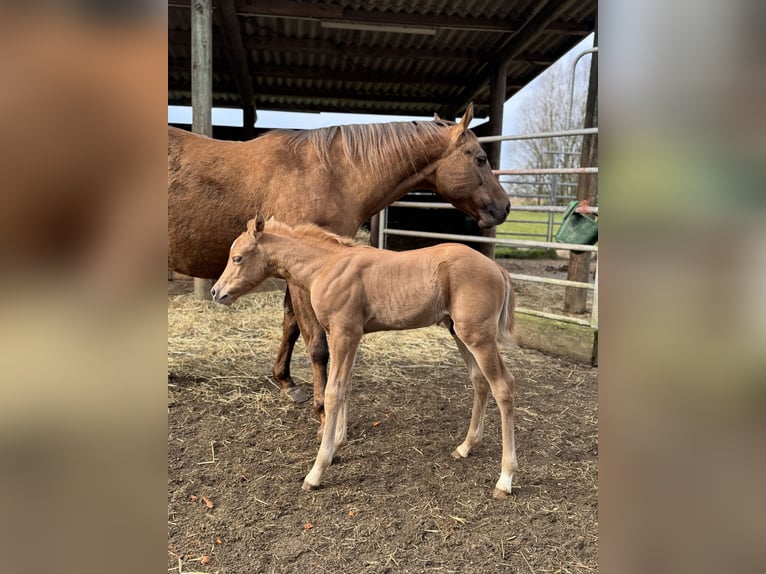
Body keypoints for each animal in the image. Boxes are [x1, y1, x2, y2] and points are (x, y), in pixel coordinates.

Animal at [169, 103, 510, 422]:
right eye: (480, 158)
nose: (505, 207)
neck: (329, 175)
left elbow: (291, 326)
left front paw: (287, 382)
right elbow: (317, 343)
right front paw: (321, 407)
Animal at [211, 215, 518, 499]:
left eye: (237, 257)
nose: (216, 292)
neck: (327, 266)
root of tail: (497, 268)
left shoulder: (344, 333)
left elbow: (333, 391)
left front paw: (317, 469)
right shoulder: (348, 335)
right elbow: (345, 386)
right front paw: (337, 444)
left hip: (477, 336)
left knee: (503, 386)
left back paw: (505, 479)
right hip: (458, 332)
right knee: (479, 381)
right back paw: (465, 447)